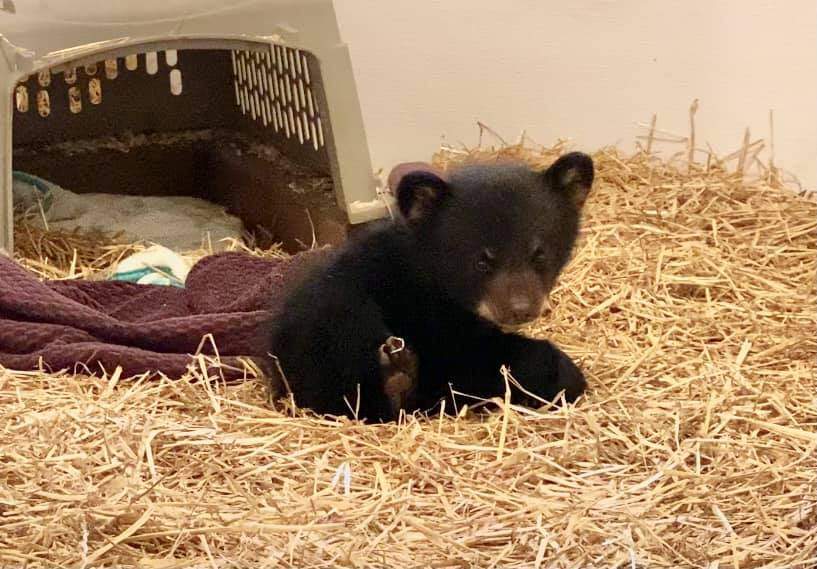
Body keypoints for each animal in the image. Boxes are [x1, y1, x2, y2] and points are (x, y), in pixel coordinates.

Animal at [264, 152, 594, 422]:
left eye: (540, 254)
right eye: (480, 261)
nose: (521, 310)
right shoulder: (436, 321)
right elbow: (476, 356)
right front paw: (562, 374)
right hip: (342, 319)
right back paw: (396, 380)